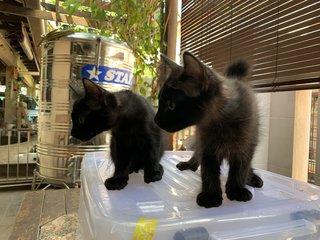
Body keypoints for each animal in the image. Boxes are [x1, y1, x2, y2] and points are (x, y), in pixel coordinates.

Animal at [154, 52, 262, 208]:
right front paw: (210, 195)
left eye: (171, 105)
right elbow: (209, 171)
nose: (156, 120)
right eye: (160, 100)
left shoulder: (245, 146)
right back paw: (189, 164)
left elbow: (240, 169)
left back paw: (252, 177)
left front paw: (236, 190)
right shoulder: (207, 146)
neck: (221, 122)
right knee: (197, 154)